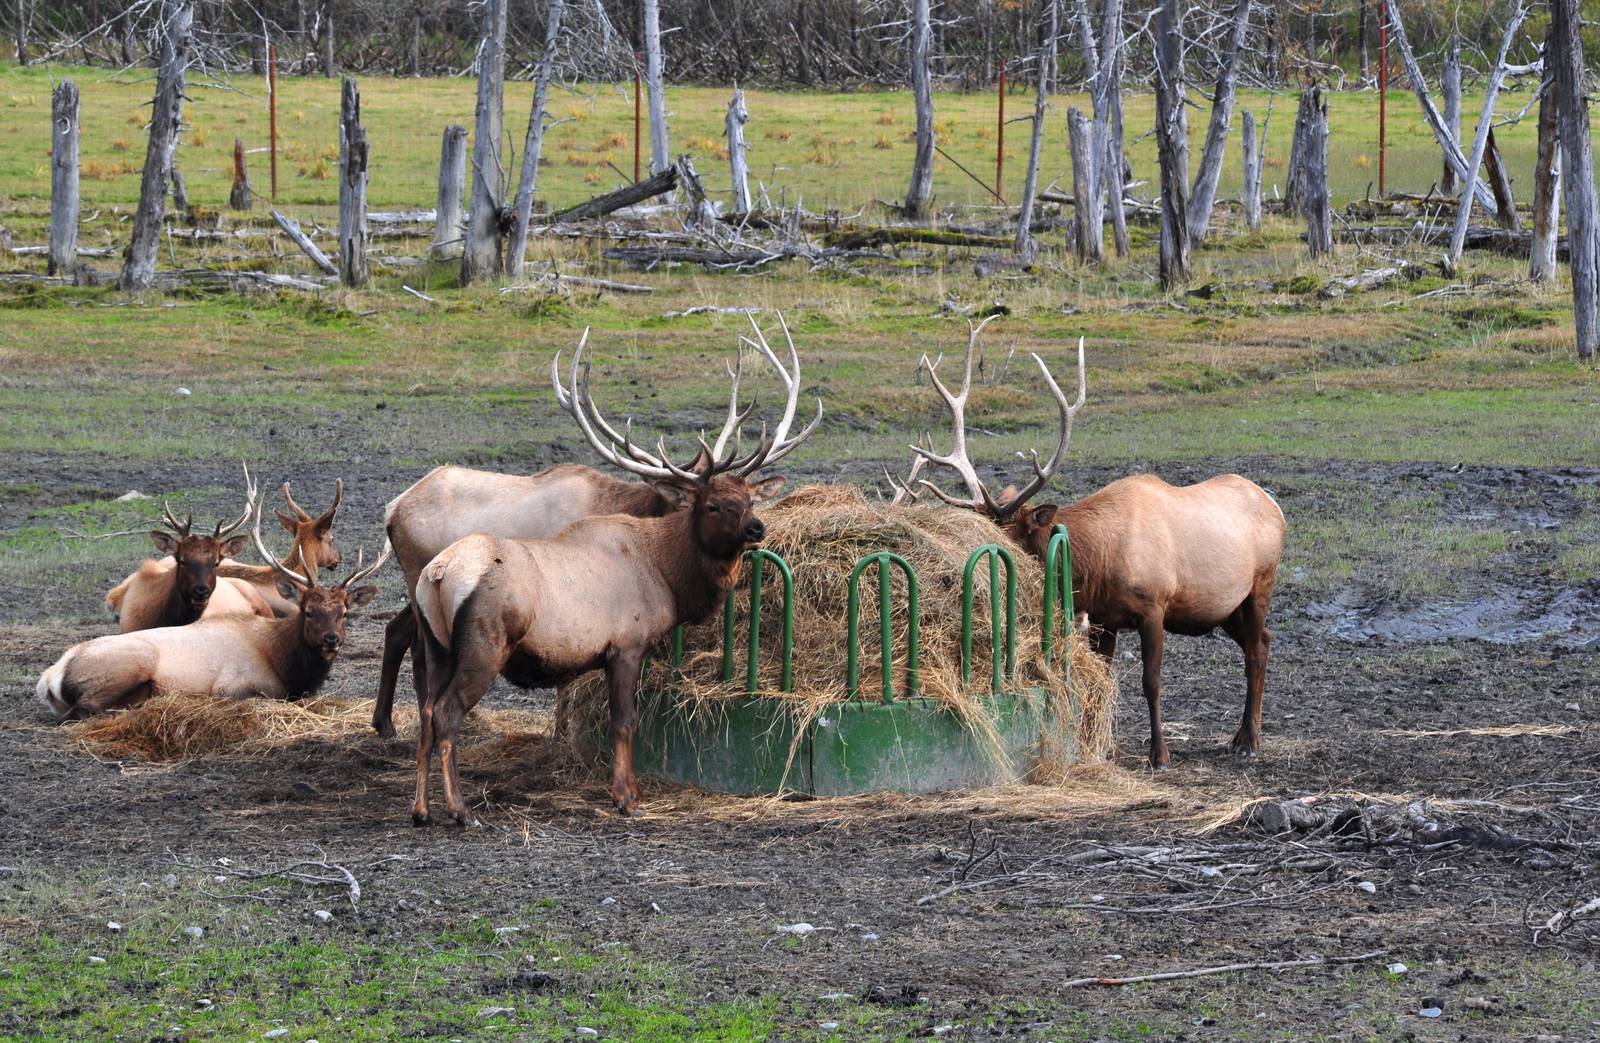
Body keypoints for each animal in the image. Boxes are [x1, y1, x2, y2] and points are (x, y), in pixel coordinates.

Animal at [37, 473, 389, 721]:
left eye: (344, 612)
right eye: (308, 610)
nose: (331, 639)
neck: (284, 661)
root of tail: (50, 676)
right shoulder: (233, 686)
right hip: (131, 663)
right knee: (81, 711)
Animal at [407, 329, 819, 826]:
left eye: (750, 498)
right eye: (713, 505)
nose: (758, 529)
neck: (665, 574)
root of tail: (438, 575)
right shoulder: (626, 644)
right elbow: (624, 721)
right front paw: (627, 797)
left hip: (436, 644)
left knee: (426, 711)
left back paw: (420, 809)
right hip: (483, 646)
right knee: (447, 714)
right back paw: (461, 809)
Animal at [907, 318, 1286, 769]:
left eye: (1012, 536)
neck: (1098, 562)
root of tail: (1276, 506)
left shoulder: (1154, 606)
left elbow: (1151, 681)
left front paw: (1159, 754)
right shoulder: (1104, 618)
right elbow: (1102, 681)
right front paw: (1098, 749)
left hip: (1260, 585)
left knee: (1257, 649)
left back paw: (1250, 739)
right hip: (1223, 607)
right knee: (1261, 641)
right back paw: (1241, 734)